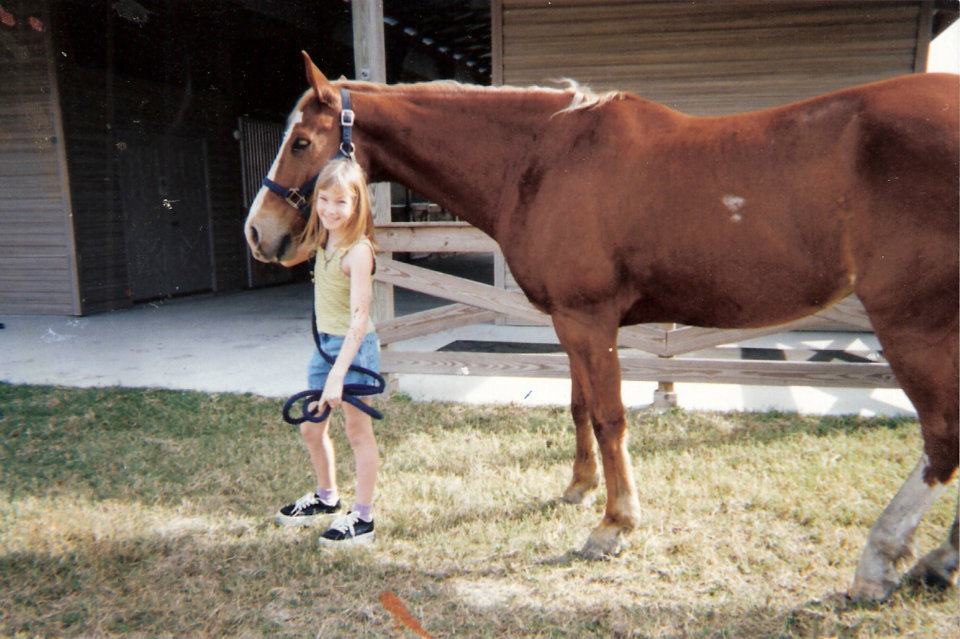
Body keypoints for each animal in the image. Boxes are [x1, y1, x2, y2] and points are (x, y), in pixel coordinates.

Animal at [244, 52, 956, 604]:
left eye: (301, 142)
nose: (258, 232)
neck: (543, 159)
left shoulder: (589, 319)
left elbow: (611, 416)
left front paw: (614, 526)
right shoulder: (570, 321)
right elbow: (580, 405)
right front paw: (580, 489)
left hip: (913, 321)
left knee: (942, 438)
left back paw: (880, 560)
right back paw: (934, 562)